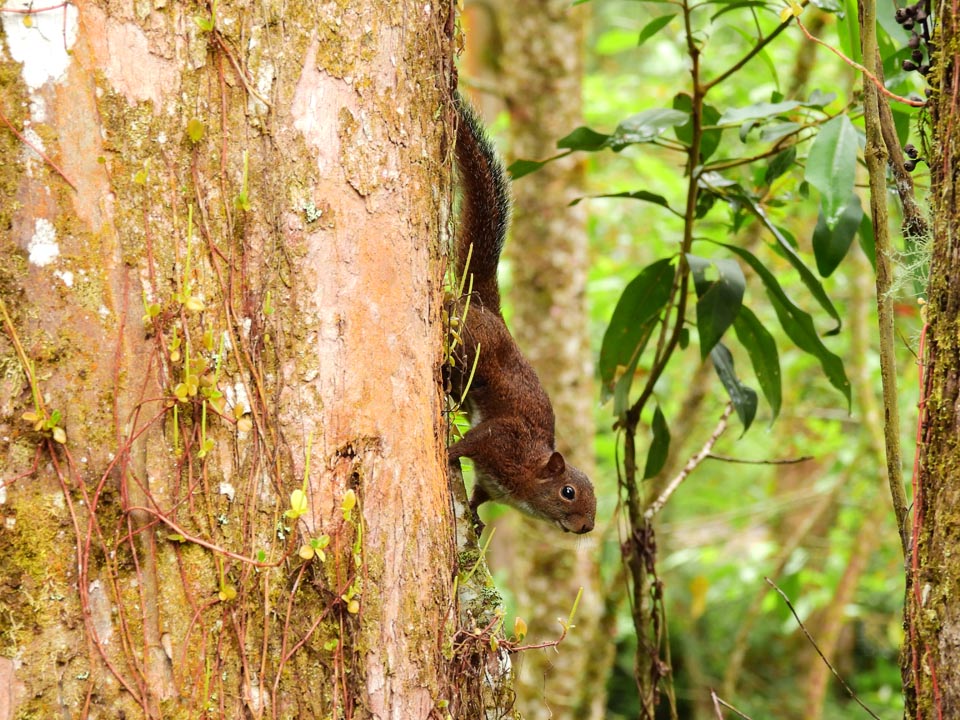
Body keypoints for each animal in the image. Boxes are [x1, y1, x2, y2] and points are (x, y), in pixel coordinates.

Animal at [446, 93, 596, 535]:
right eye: (568, 492)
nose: (587, 527)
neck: (528, 480)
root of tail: (487, 308)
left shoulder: (493, 485)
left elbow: (479, 497)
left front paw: (475, 519)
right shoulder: (503, 438)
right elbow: (473, 441)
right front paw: (449, 453)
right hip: (471, 345)